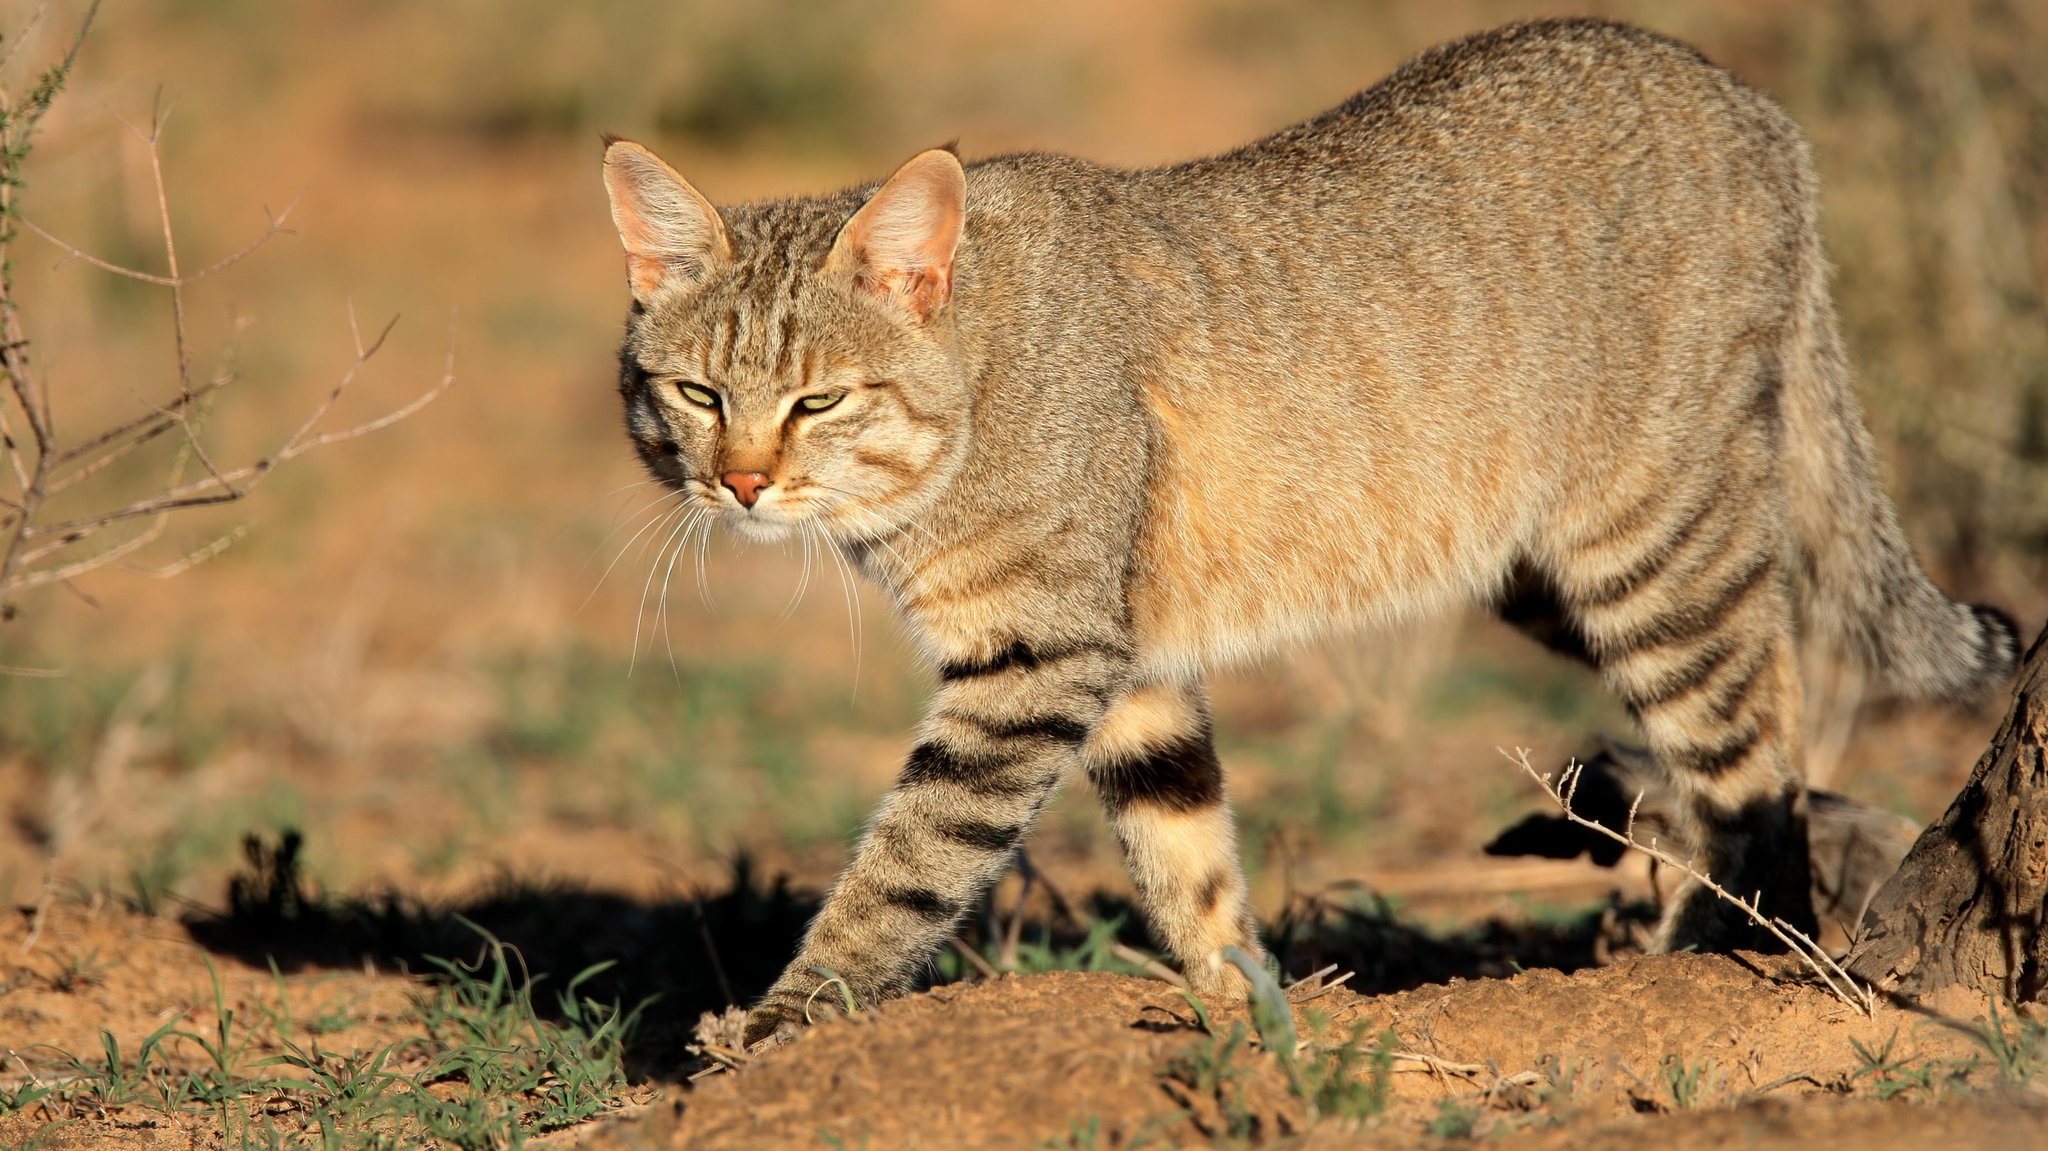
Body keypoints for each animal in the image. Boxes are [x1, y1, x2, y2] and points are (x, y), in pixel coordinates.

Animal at [593, 17, 2015, 1044]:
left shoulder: (1035, 661)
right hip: (1536, 567)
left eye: (817, 399)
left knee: (1761, 724)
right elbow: (1186, 855)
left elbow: (907, 858)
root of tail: (1752, 107)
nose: (740, 483)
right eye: (698, 394)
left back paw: (1725, 951)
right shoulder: (1132, 666)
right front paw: (1244, 1010)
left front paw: (788, 1013)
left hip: (1649, 538)